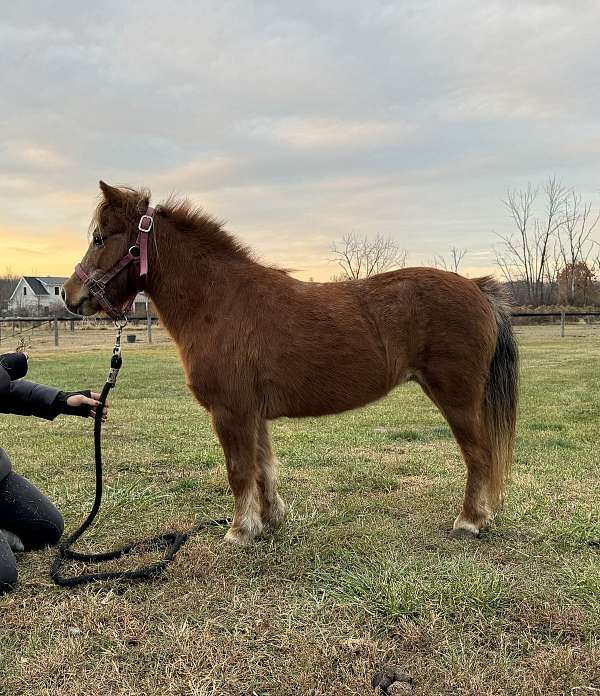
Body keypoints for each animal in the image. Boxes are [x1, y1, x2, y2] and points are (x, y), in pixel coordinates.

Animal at [63, 182, 516, 548]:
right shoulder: (253, 413)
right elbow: (263, 466)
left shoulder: (231, 412)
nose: (69, 295)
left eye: (99, 237)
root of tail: (476, 287)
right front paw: (271, 519)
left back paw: (469, 522)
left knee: (478, 454)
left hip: (456, 398)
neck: (219, 302)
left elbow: (239, 469)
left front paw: (240, 531)